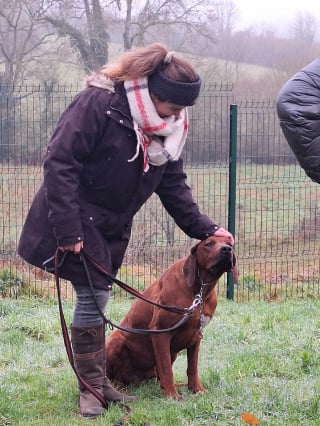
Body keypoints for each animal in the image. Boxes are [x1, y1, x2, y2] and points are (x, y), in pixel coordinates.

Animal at [105, 236, 238, 400]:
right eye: (208, 244)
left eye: (230, 243)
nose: (226, 249)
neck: (199, 290)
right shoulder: (160, 331)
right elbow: (166, 368)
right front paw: (172, 395)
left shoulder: (196, 335)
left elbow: (192, 367)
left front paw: (196, 389)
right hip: (115, 340)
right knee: (116, 379)